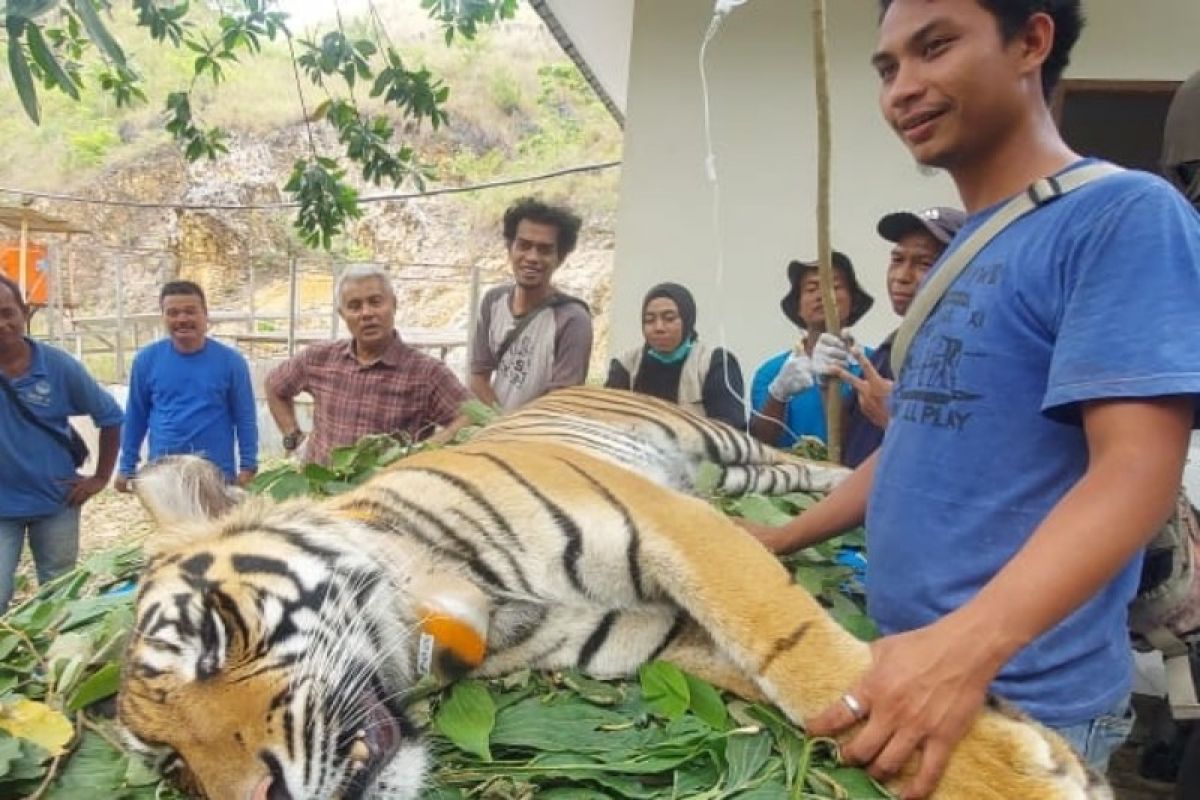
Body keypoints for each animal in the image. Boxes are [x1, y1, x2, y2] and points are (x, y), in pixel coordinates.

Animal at [117, 383, 1108, 796]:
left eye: (213, 637)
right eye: (170, 764)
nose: (267, 798)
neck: (472, 617)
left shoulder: (674, 527)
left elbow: (796, 652)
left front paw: (1010, 780)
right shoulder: (645, 638)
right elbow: (774, 681)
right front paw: (1026, 750)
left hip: (715, 447)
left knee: (792, 460)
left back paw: (846, 469)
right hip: (731, 481)